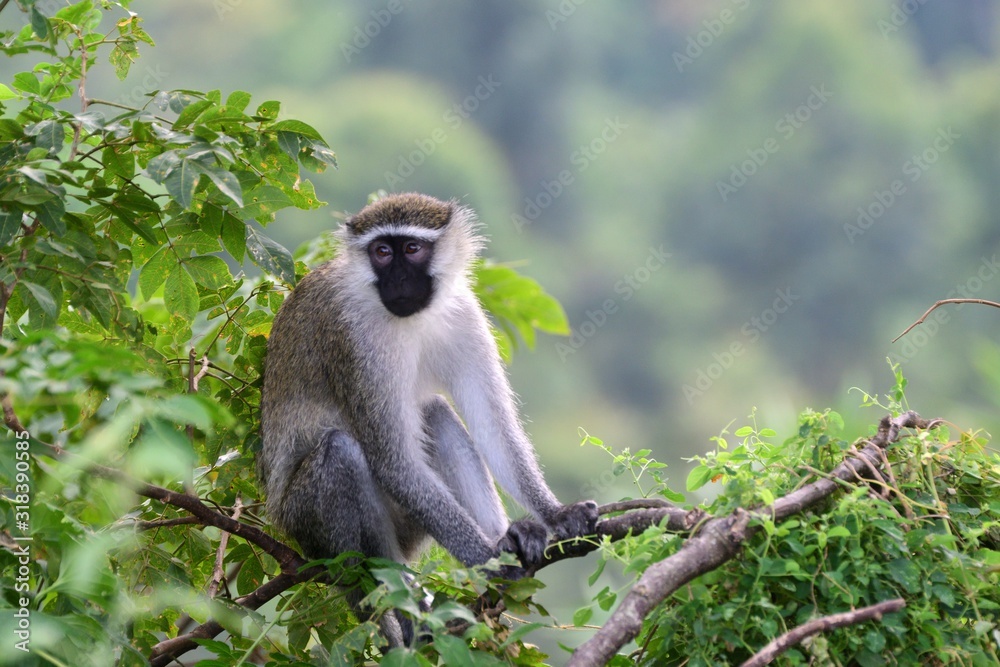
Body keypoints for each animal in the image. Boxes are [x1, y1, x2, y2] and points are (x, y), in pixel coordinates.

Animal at [262, 196, 596, 644]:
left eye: (412, 249)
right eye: (382, 252)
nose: (400, 280)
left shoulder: (465, 314)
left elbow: (494, 431)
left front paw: (556, 515)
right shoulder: (352, 340)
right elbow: (394, 464)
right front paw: (489, 559)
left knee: (435, 413)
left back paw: (507, 540)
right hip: (303, 525)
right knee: (340, 454)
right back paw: (395, 607)